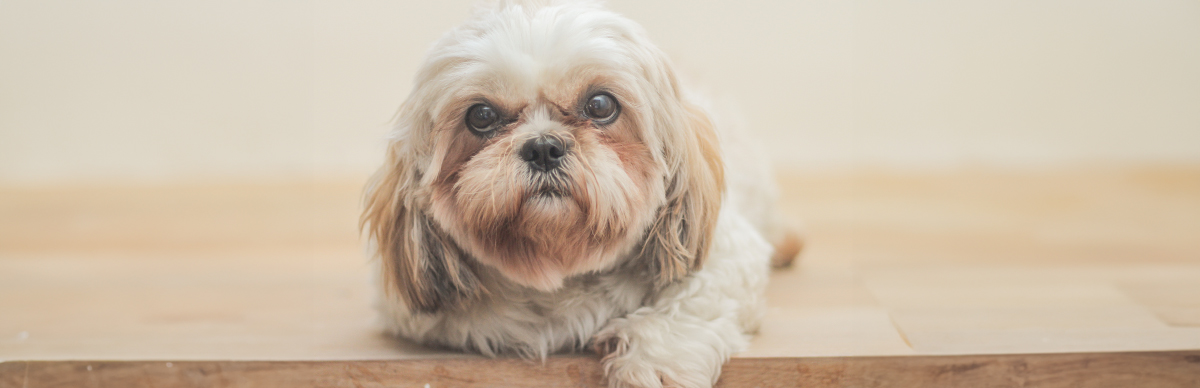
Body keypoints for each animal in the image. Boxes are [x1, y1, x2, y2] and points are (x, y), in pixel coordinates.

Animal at [360, 1, 801, 386]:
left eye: (601, 104)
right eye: (481, 116)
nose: (543, 147)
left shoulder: (724, 256)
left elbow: (690, 306)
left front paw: (655, 364)